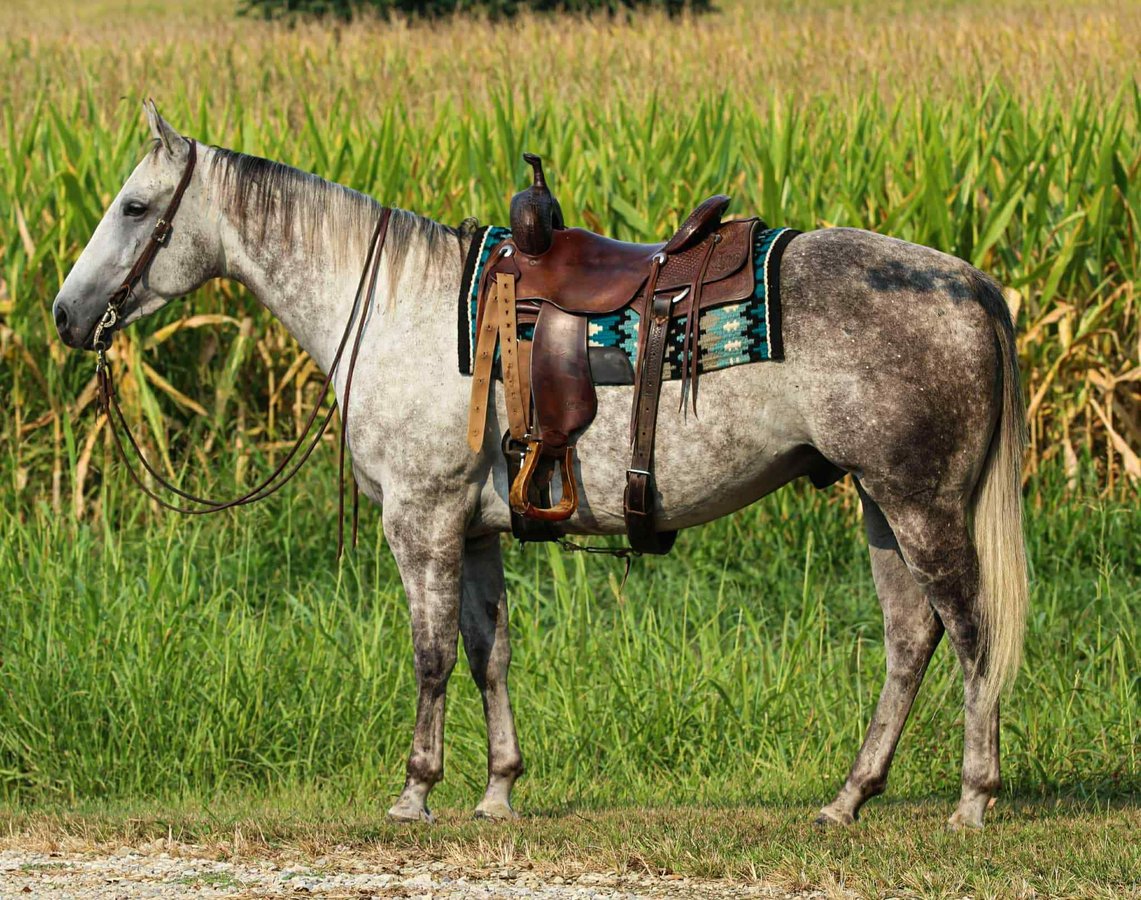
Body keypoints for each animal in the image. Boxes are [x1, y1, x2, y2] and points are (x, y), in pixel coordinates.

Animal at [52, 102, 1028, 830]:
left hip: (920, 504)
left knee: (970, 633)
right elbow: (490, 653)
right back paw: (847, 798)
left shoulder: (420, 522)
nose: (65, 315)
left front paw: (414, 791)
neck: (402, 311)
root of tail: (969, 283)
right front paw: (497, 791)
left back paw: (972, 799)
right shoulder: (475, 531)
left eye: (134, 207)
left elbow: (432, 655)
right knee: (910, 640)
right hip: (878, 505)